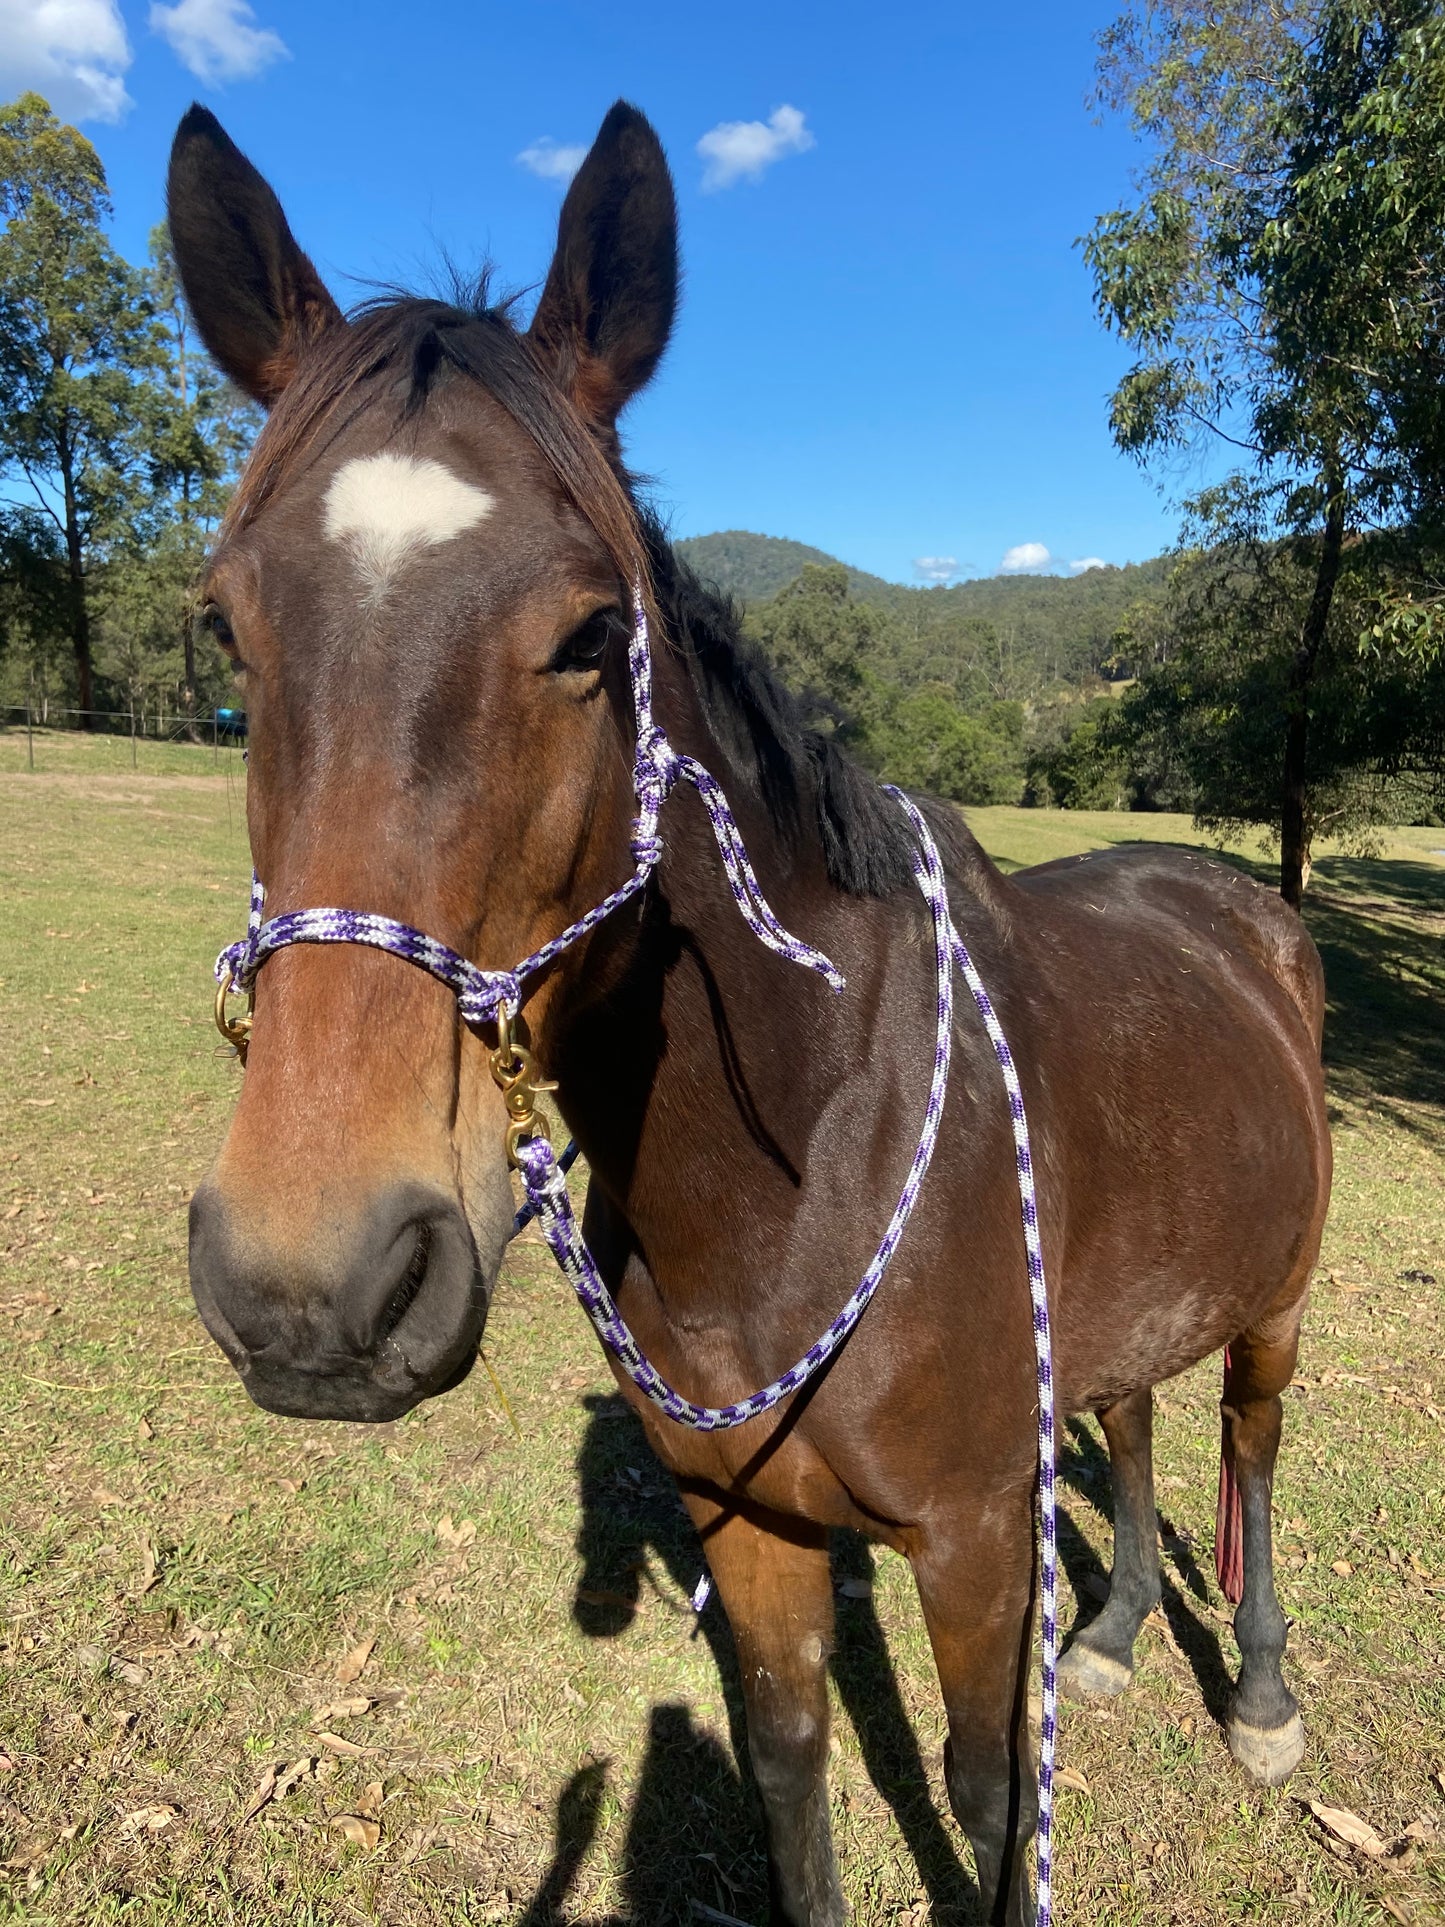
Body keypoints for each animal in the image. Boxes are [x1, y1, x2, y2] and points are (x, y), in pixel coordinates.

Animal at [166, 97, 1333, 1919]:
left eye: (592, 634)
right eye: (226, 627)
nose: (317, 1282)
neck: (805, 1155)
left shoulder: (973, 1542)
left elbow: (989, 1800)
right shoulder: (750, 1528)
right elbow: (788, 1765)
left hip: (1274, 1298)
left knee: (1251, 1444)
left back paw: (1262, 1692)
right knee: (1137, 1414)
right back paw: (1124, 1629)